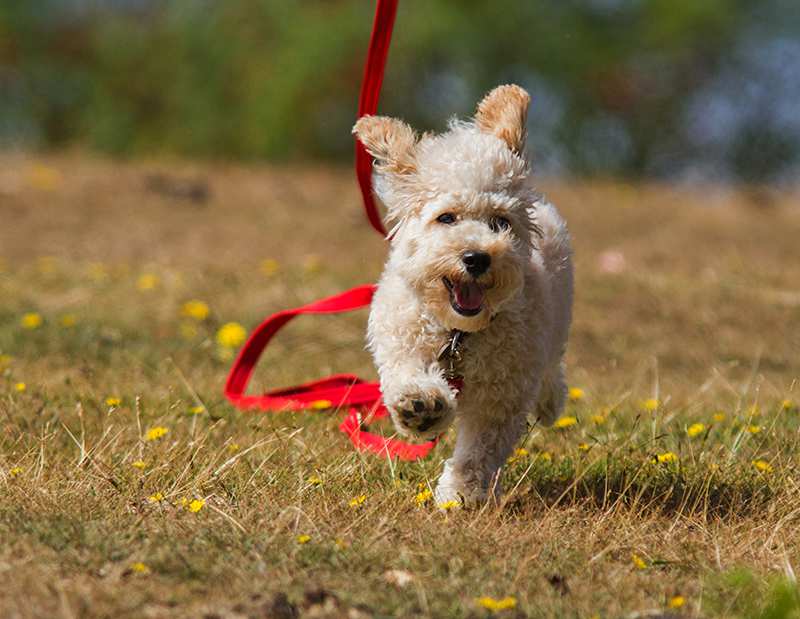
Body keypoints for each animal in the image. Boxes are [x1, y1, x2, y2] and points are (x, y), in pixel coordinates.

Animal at [354, 83, 572, 508]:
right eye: (447, 218)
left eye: (500, 222)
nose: (476, 257)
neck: (459, 334)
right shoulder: (401, 338)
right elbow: (407, 376)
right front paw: (420, 407)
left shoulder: (502, 396)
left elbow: (479, 451)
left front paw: (461, 495)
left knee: (551, 368)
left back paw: (550, 401)